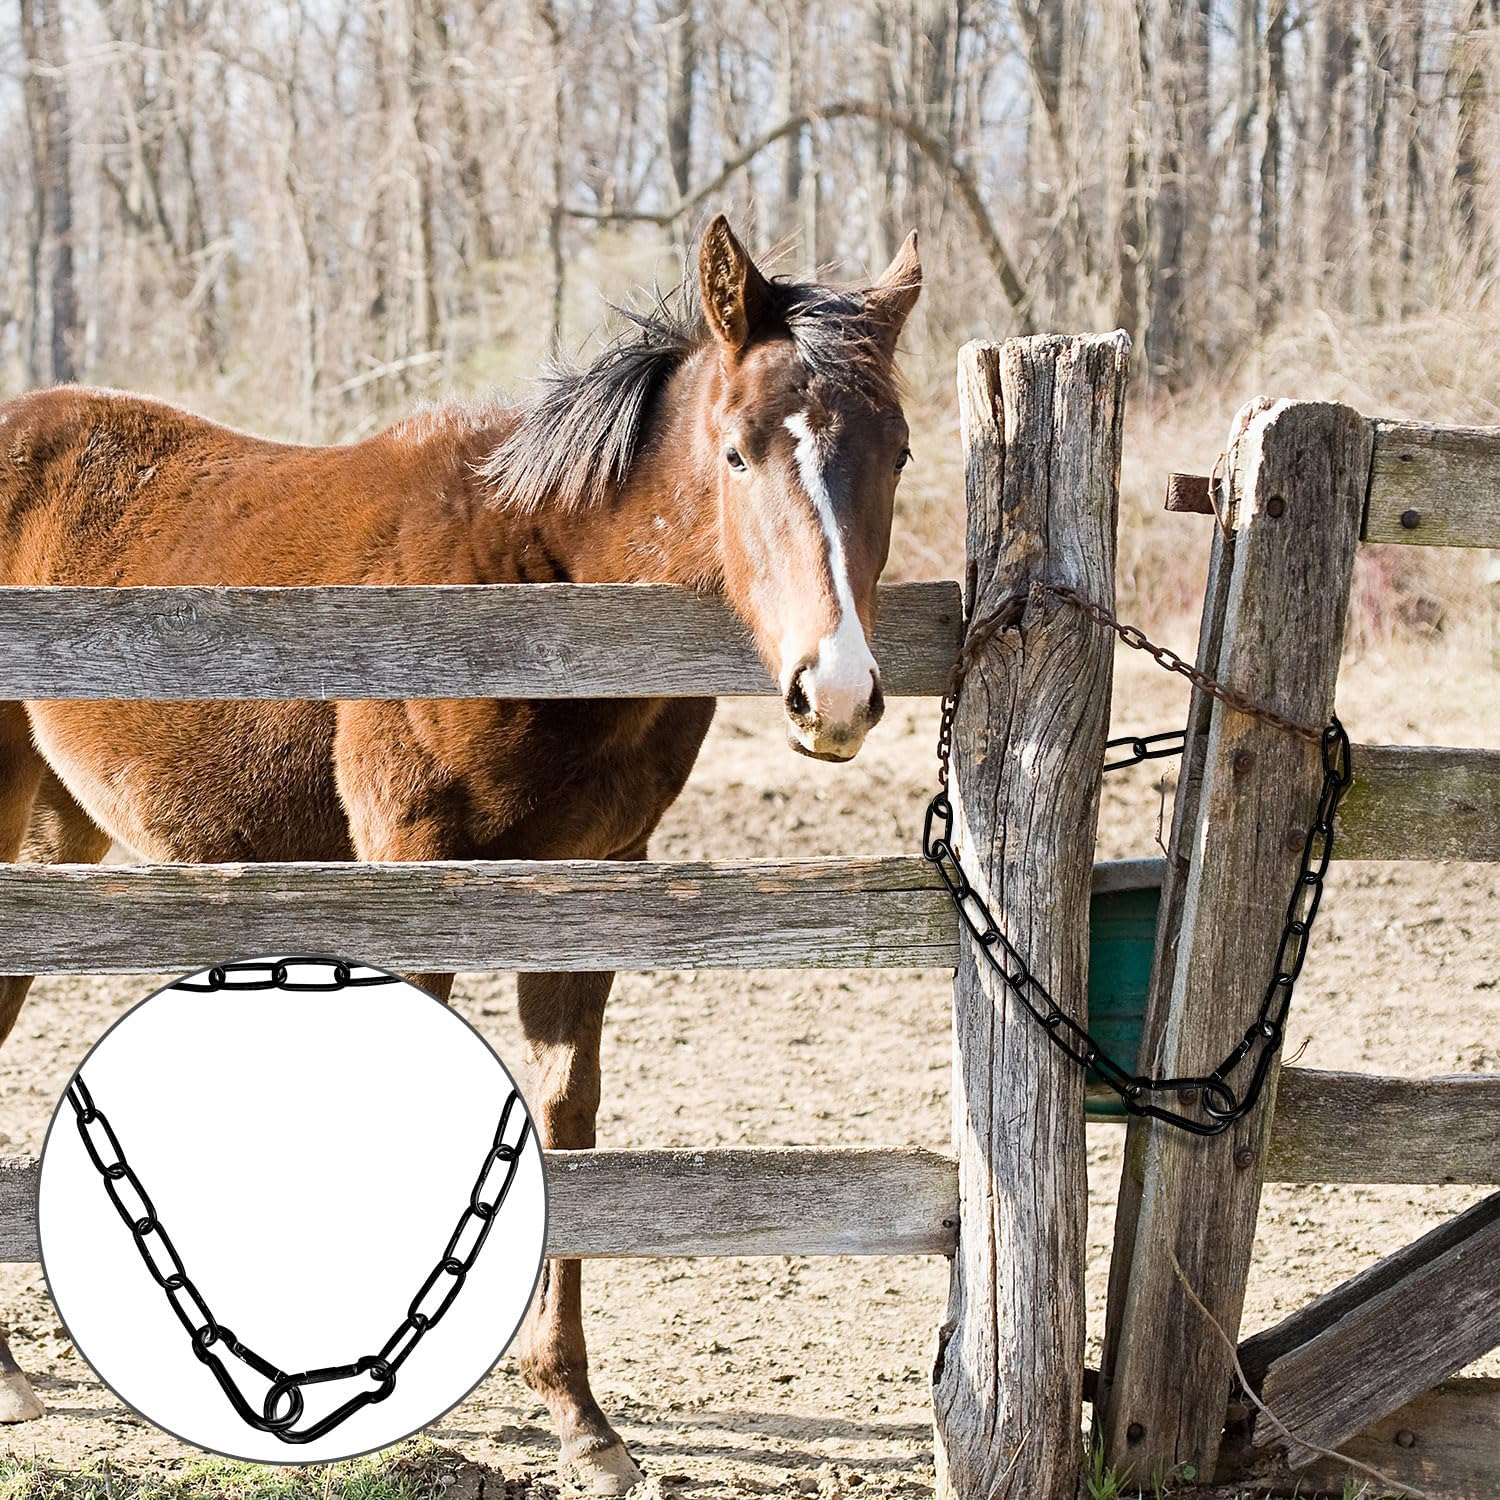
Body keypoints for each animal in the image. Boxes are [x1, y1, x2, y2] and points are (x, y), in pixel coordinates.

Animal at [0, 213, 920, 1491]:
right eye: (737, 455)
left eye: (898, 453)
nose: (833, 693)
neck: (536, 581)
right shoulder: (410, 874)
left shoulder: (593, 886)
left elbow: (566, 1116)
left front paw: (579, 1415)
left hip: (56, 836)